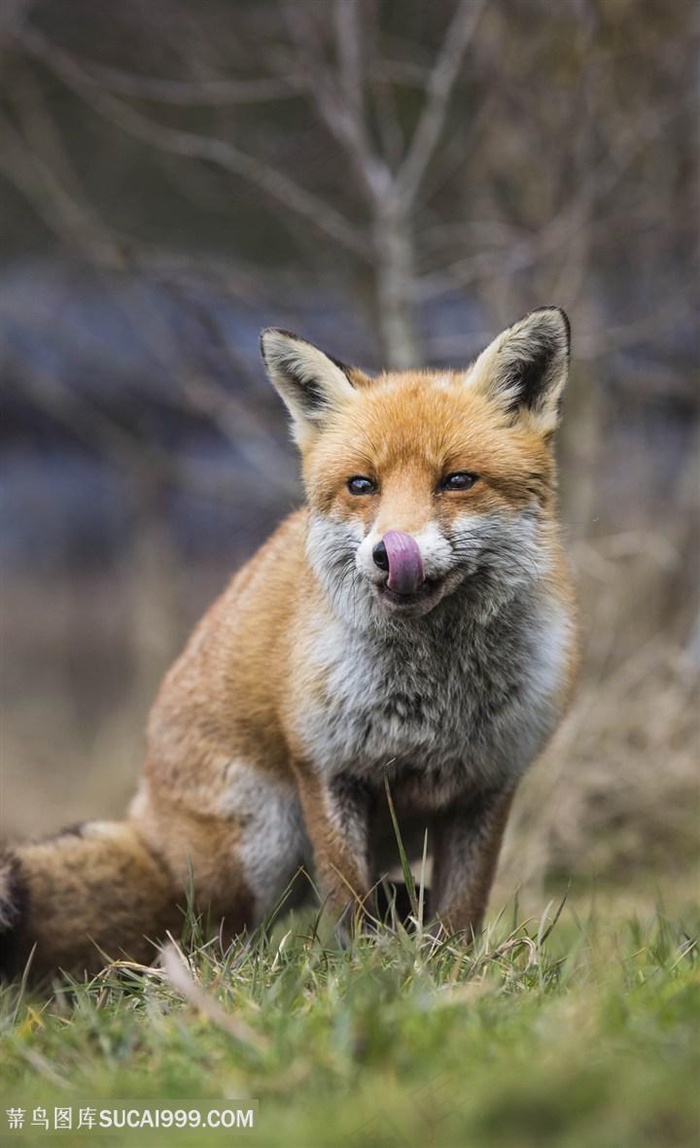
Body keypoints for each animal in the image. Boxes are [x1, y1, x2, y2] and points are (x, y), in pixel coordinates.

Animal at [0, 305, 578, 978]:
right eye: (362, 485)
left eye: (458, 480)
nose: (390, 555)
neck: (434, 693)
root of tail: (150, 825)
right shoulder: (326, 766)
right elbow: (349, 904)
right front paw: (367, 977)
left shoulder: (489, 783)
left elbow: (462, 914)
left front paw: (453, 976)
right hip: (262, 844)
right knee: (205, 936)